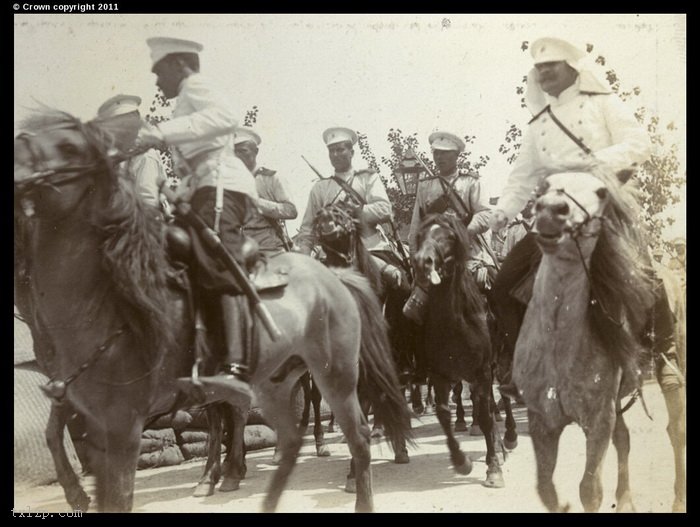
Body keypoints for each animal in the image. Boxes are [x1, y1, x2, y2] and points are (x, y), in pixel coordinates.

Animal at [13, 109, 412, 512]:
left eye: (68, 146)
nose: (329, 218)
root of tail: (335, 276)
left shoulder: (123, 426)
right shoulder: (88, 416)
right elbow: (55, 435)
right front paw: (76, 491)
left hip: (336, 375)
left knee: (358, 433)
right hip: (276, 383)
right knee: (290, 439)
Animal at [412, 213, 506, 486]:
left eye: (449, 236)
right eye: (421, 235)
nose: (422, 261)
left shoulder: (483, 371)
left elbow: (485, 415)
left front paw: (493, 468)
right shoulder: (439, 374)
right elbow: (444, 414)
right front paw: (460, 461)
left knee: (498, 401)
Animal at [516, 170, 668, 512]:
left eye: (602, 192)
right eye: (544, 186)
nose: (551, 210)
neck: (558, 350)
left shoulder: (599, 420)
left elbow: (590, 489)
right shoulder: (542, 421)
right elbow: (545, 488)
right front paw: (562, 505)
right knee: (623, 439)